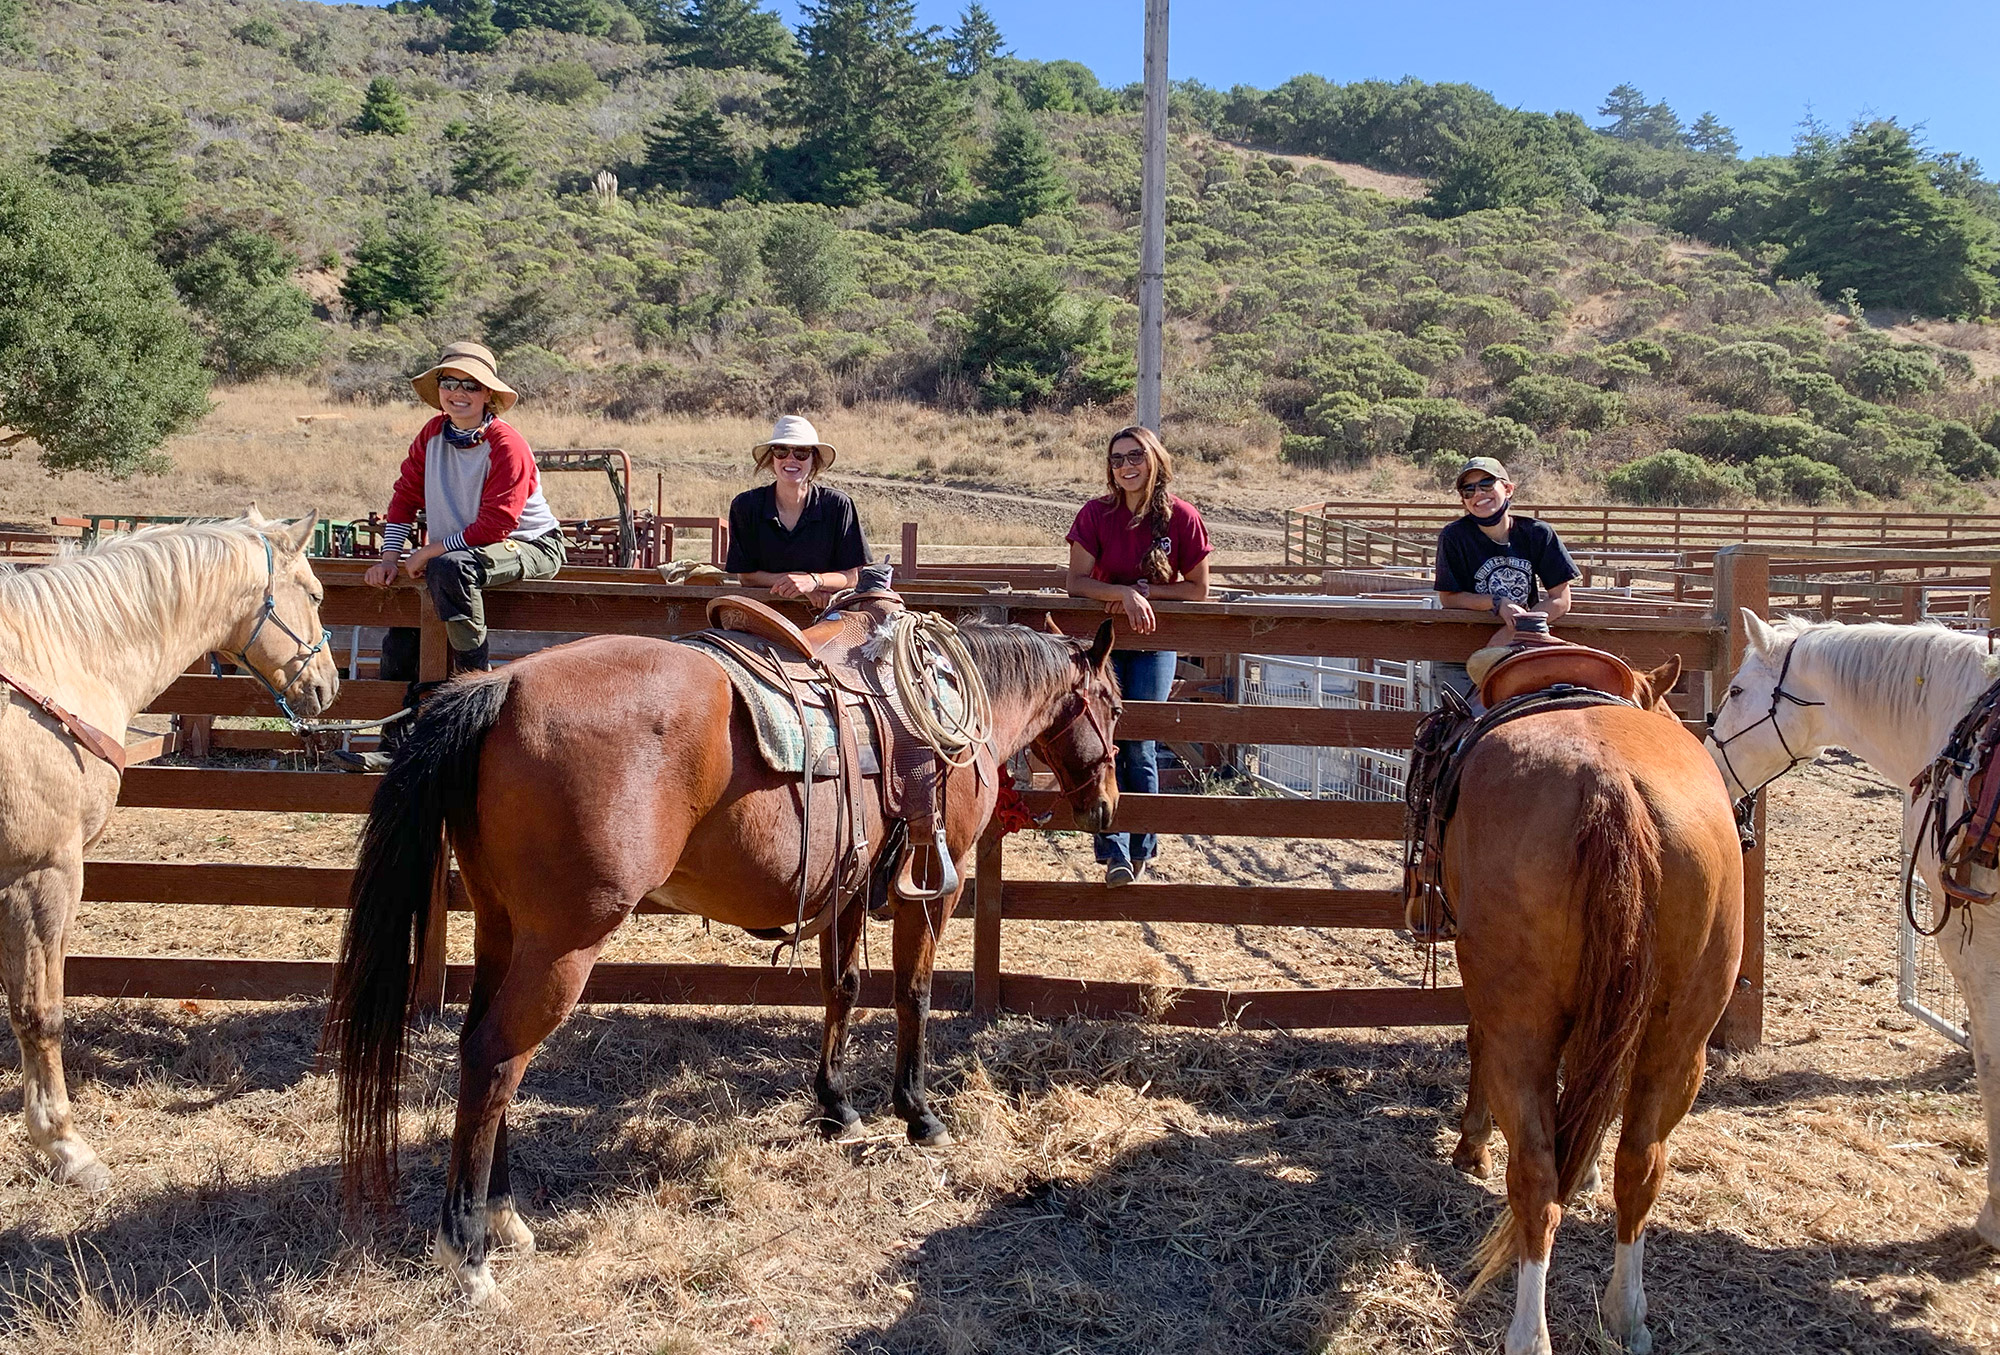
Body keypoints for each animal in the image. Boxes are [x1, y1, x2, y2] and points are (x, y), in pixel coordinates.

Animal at [0, 515, 338, 1191]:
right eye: (315, 595)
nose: (330, 684)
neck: (54, 667)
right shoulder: (41, 874)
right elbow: (38, 1013)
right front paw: (66, 1147)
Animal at [336, 579, 1136, 1311]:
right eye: (1116, 705)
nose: (1106, 806)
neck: (950, 710)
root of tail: (500, 686)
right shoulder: (935, 884)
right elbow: (913, 994)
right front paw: (918, 1112)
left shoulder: (847, 886)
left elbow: (841, 989)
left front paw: (835, 1106)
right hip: (562, 947)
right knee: (495, 1061)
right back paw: (470, 1252)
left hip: (503, 930)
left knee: (480, 1048)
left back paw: (504, 1218)